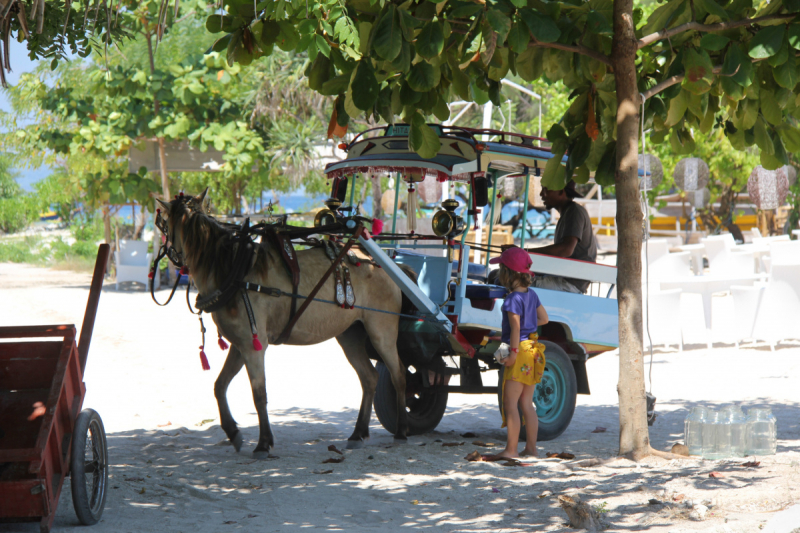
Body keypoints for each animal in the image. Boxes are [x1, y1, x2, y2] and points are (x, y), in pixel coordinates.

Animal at [155, 189, 410, 456]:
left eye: (164, 225)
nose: (170, 258)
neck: (234, 271)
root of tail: (382, 264)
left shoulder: (253, 346)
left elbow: (259, 394)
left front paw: (263, 442)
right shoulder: (240, 344)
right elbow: (220, 385)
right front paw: (233, 432)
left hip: (382, 331)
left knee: (398, 375)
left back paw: (401, 430)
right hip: (350, 334)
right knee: (369, 378)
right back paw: (358, 433)